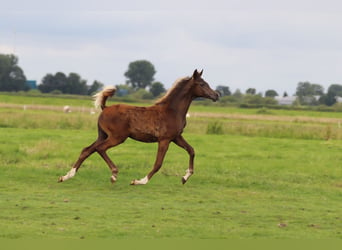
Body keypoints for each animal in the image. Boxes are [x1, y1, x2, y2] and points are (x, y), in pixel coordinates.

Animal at [58, 69, 219, 185]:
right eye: (202, 84)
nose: (216, 95)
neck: (172, 110)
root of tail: (105, 107)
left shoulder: (176, 137)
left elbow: (191, 150)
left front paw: (185, 178)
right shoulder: (165, 139)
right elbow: (158, 163)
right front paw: (139, 181)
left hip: (103, 135)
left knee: (87, 150)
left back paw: (66, 176)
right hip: (117, 137)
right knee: (99, 148)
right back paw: (114, 175)